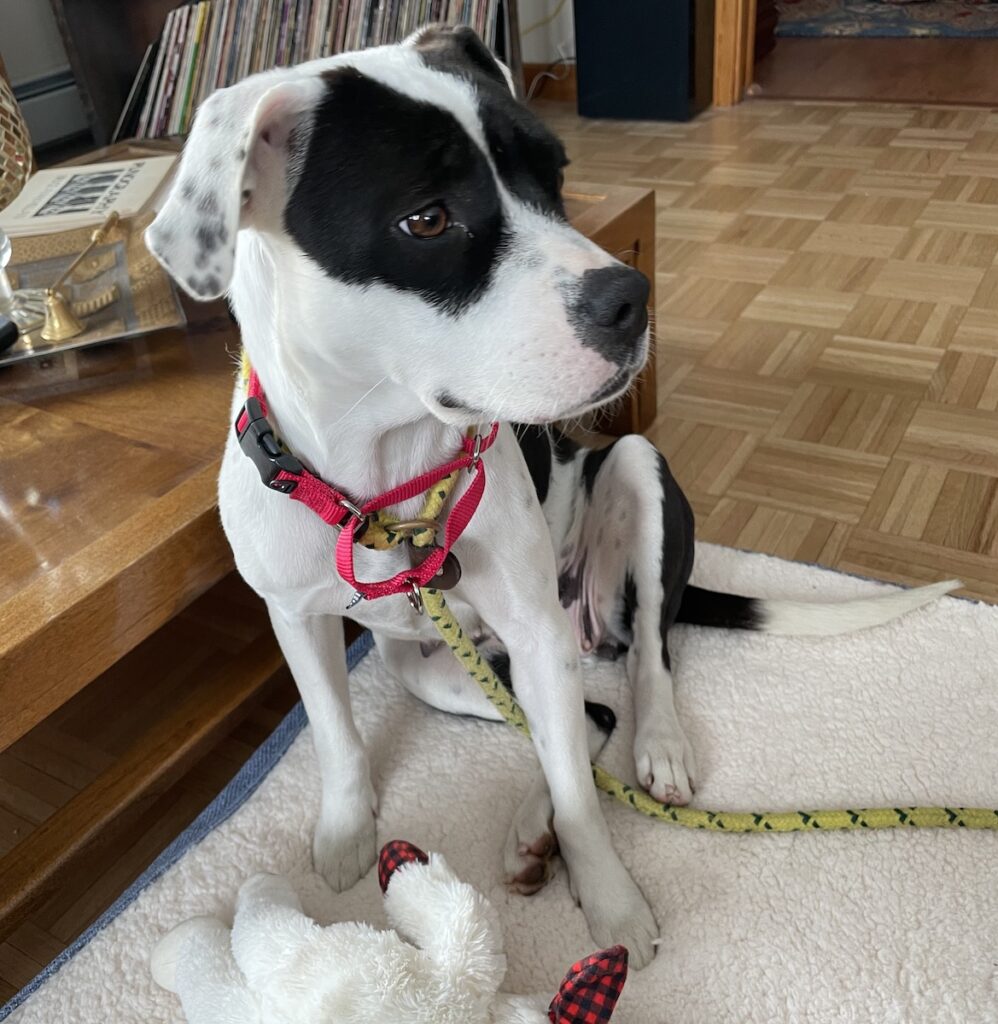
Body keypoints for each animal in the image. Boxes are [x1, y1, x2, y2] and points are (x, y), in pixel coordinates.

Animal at [146, 25, 953, 966]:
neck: (385, 478)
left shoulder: (533, 625)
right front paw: (344, 833)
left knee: (641, 665)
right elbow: (336, 734)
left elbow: (580, 787)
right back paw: (534, 830)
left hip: (629, 481)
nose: (633, 297)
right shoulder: (295, 618)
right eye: (427, 219)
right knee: (581, 718)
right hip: (434, 668)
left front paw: (610, 903)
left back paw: (653, 750)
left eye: (556, 173)